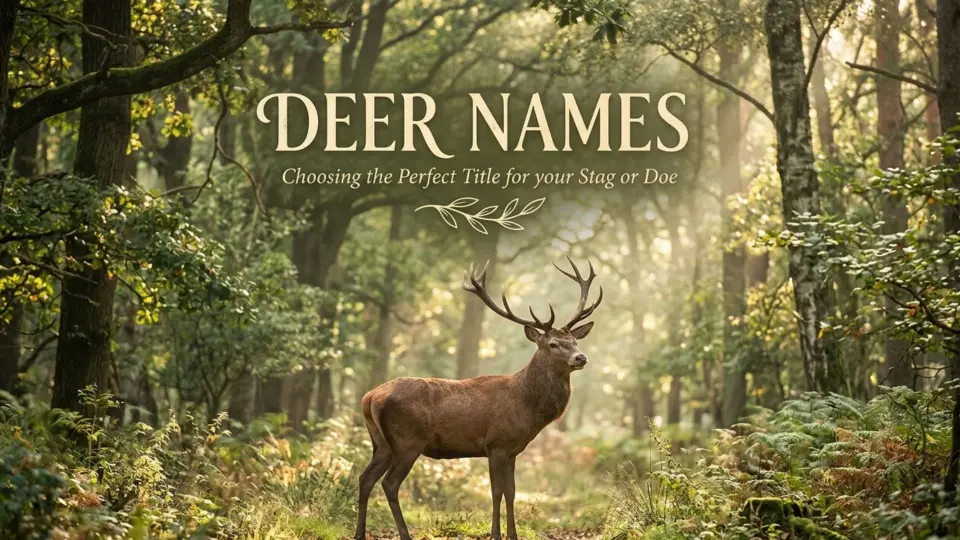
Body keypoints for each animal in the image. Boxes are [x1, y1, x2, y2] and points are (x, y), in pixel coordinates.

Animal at [353, 256, 603, 540]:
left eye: (574, 341)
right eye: (553, 344)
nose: (581, 357)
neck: (526, 406)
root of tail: (370, 397)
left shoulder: (513, 450)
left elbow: (511, 492)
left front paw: (513, 535)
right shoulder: (496, 444)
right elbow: (496, 493)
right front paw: (496, 534)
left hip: (381, 443)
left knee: (365, 478)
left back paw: (359, 534)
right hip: (408, 440)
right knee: (390, 483)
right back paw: (405, 535)